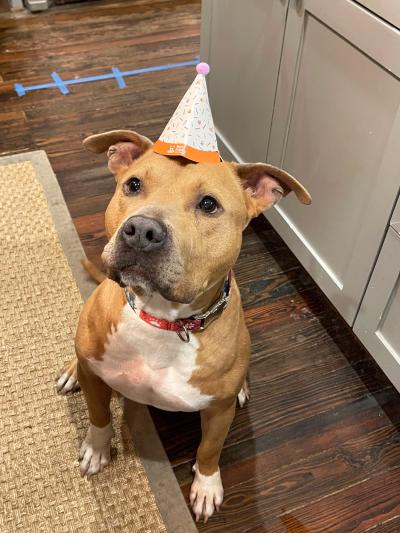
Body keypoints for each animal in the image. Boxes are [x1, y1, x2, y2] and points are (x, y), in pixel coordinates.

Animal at [57, 129, 312, 520]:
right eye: (133, 184)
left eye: (208, 205)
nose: (142, 230)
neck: (161, 320)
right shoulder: (97, 381)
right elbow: (99, 415)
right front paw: (97, 449)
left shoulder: (218, 413)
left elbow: (209, 449)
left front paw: (206, 486)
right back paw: (72, 370)